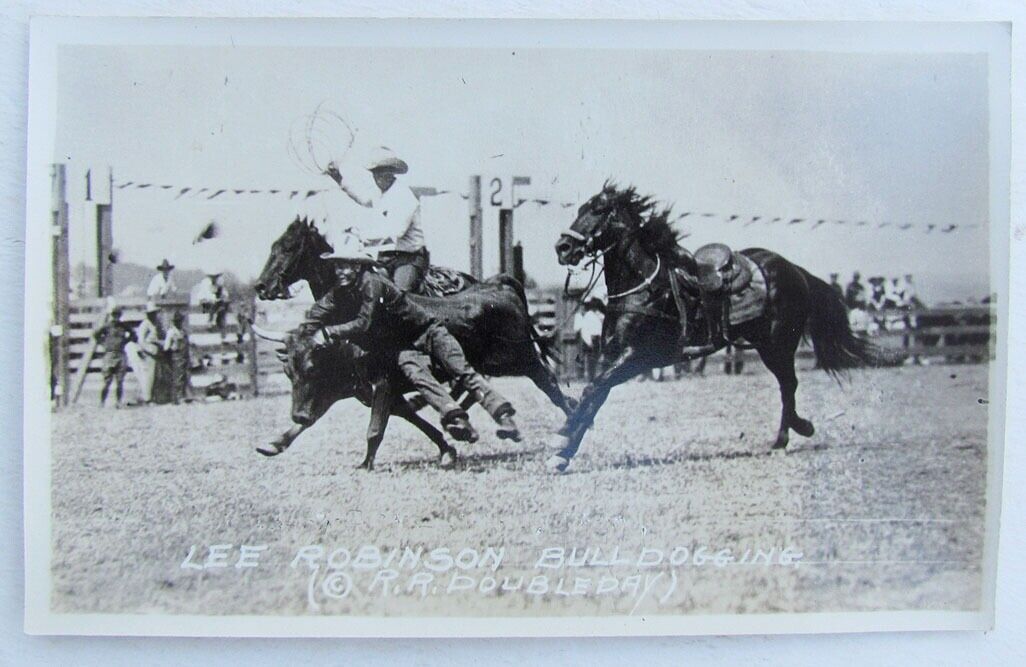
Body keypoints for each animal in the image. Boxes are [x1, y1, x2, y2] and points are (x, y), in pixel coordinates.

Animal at [549, 182, 894, 472]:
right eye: (580, 209)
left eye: (598, 211)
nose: (563, 247)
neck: (645, 287)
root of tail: (794, 270)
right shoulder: (613, 356)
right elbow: (595, 394)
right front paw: (565, 452)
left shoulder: (637, 358)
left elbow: (593, 389)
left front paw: (561, 437)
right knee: (788, 385)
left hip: (778, 345)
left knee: (789, 385)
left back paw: (787, 436)